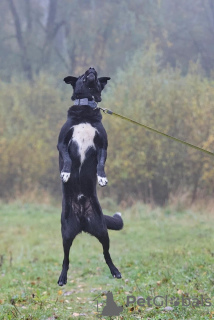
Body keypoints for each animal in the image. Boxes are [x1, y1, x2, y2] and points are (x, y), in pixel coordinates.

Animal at [57, 67, 123, 284]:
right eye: (81, 74)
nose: (91, 68)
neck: (85, 110)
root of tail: (83, 220)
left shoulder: (103, 145)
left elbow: (101, 164)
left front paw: (102, 178)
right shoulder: (62, 143)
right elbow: (67, 159)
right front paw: (66, 173)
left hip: (102, 231)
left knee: (106, 254)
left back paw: (115, 271)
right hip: (66, 234)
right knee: (66, 258)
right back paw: (62, 278)